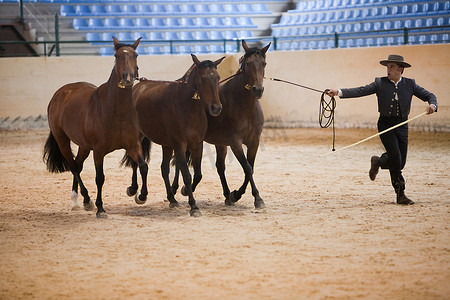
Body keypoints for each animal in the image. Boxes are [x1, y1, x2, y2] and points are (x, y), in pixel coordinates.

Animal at [42, 37, 148, 218]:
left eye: (136, 54)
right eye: (116, 56)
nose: (127, 78)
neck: (117, 111)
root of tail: (61, 93)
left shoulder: (133, 145)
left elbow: (142, 166)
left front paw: (140, 195)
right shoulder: (98, 151)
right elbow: (100, 178)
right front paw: (100, 208)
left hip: (84, 146)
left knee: (78, 165)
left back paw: (78, 201)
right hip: (62, 140)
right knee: (73, 167)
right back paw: (86, 200)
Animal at [125, 54, 224, 217]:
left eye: (217, 77)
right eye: (203, 79)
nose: (216, 108)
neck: (187, 106)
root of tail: (137, 88)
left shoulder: (197, 145)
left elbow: (197, 175)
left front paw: (183, 193)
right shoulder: (179, 145)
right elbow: (187, 175)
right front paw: (194, 206)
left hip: (166, 145)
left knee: (163, 168)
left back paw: (171, 199)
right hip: (138, 137)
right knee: (137, 163)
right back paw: (138, 192)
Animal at [172, 39, 270, 209]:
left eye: (263, 63)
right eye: (248, 63)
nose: (258, 90)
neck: (244, 105)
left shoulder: (254, 142)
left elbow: (250, 168)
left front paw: (235, 195)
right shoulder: (235, 143)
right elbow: (247, 167)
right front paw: (256, 198)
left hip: (219, 143)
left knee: (219, 166)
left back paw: (226, 194)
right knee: (180, 163)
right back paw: (177, 190)